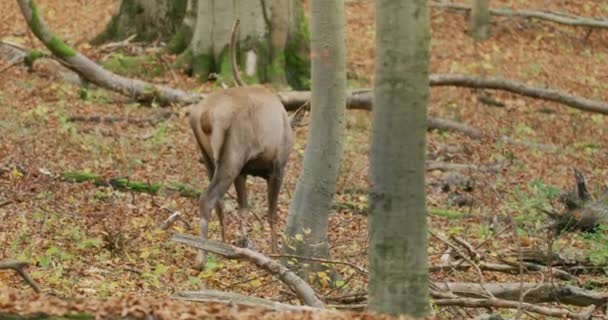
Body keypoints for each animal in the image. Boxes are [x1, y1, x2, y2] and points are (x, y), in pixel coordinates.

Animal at [185, 19, 300, 270]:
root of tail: (204, 116)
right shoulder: (277, 167)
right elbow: (271, 212)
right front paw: (275, 252)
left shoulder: (244, 172)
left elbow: (244, 208)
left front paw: (245, 244)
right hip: (231, 156)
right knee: (207, 198)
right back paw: (201, 258)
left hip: (209, 157)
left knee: (217, 200)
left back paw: (220, 244)